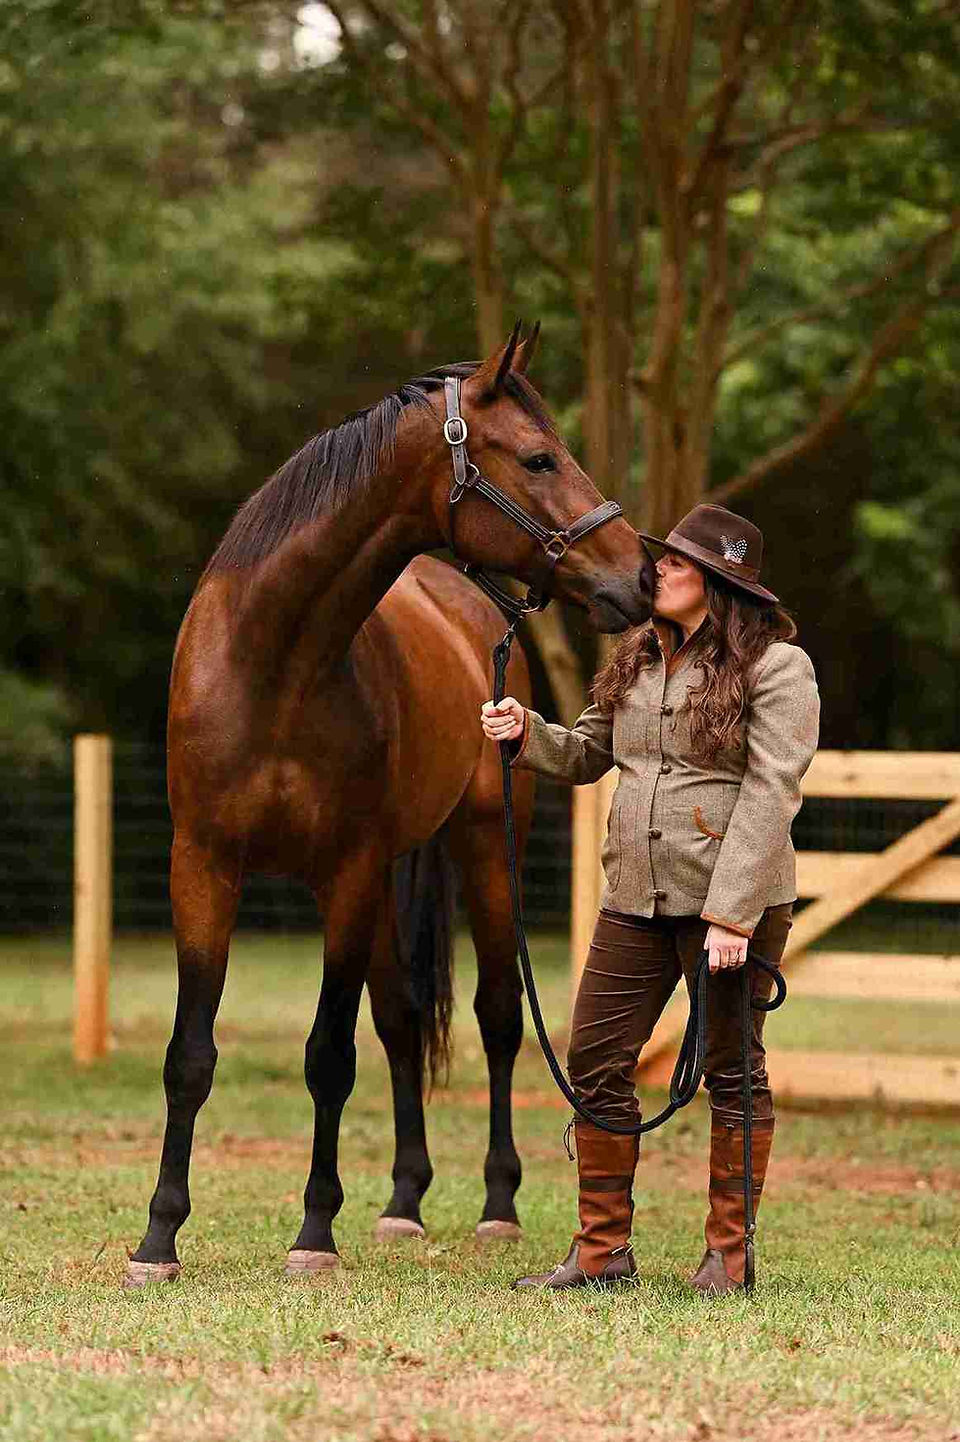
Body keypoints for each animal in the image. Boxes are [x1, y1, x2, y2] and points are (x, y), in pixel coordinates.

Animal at [124, 326, 655, 1286]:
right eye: (539, 457)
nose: (639, 575)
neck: (276, 665)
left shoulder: (348, 873)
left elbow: (329, 1057)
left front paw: (312, 1232)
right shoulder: (204, 868)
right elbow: (191, 1056)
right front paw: (159, 1239)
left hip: (481, 852)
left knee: (495, 1018)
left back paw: (495, 1205)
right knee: (404, 1023)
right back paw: (404, 1202)